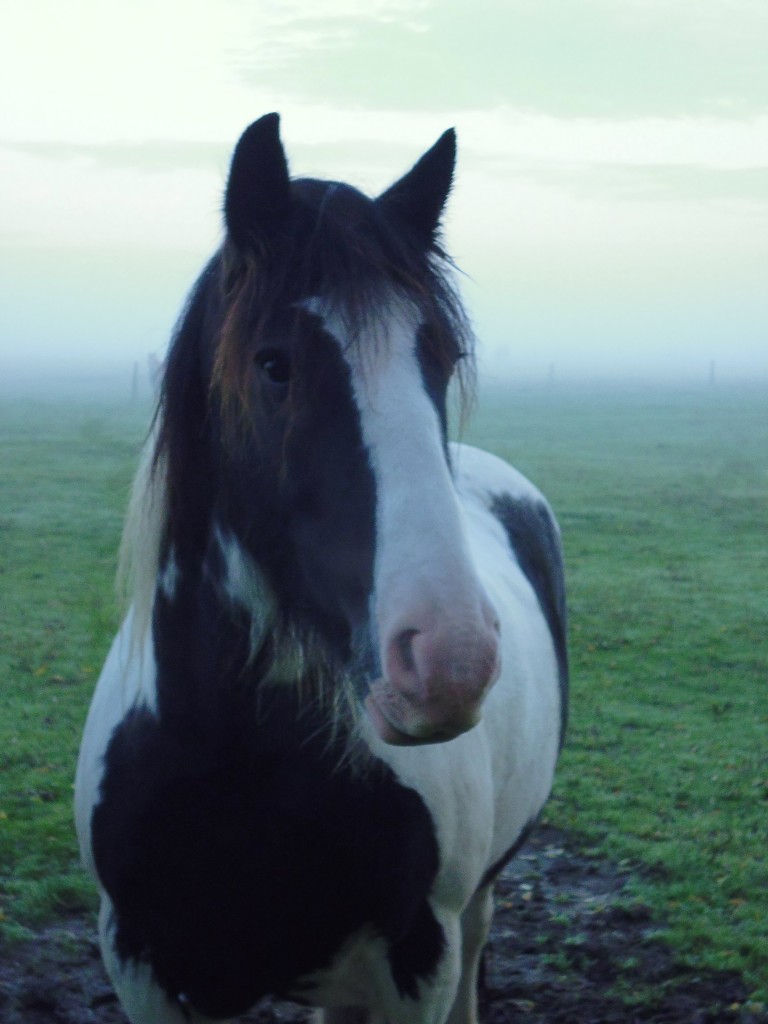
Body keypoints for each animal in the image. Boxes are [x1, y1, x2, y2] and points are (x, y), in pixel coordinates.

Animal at [75, 112, 569, 1024]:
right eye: (275, 364)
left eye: (442, 359)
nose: (449, 661)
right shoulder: (140, 960)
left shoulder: (419, 961)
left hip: (470, 910)